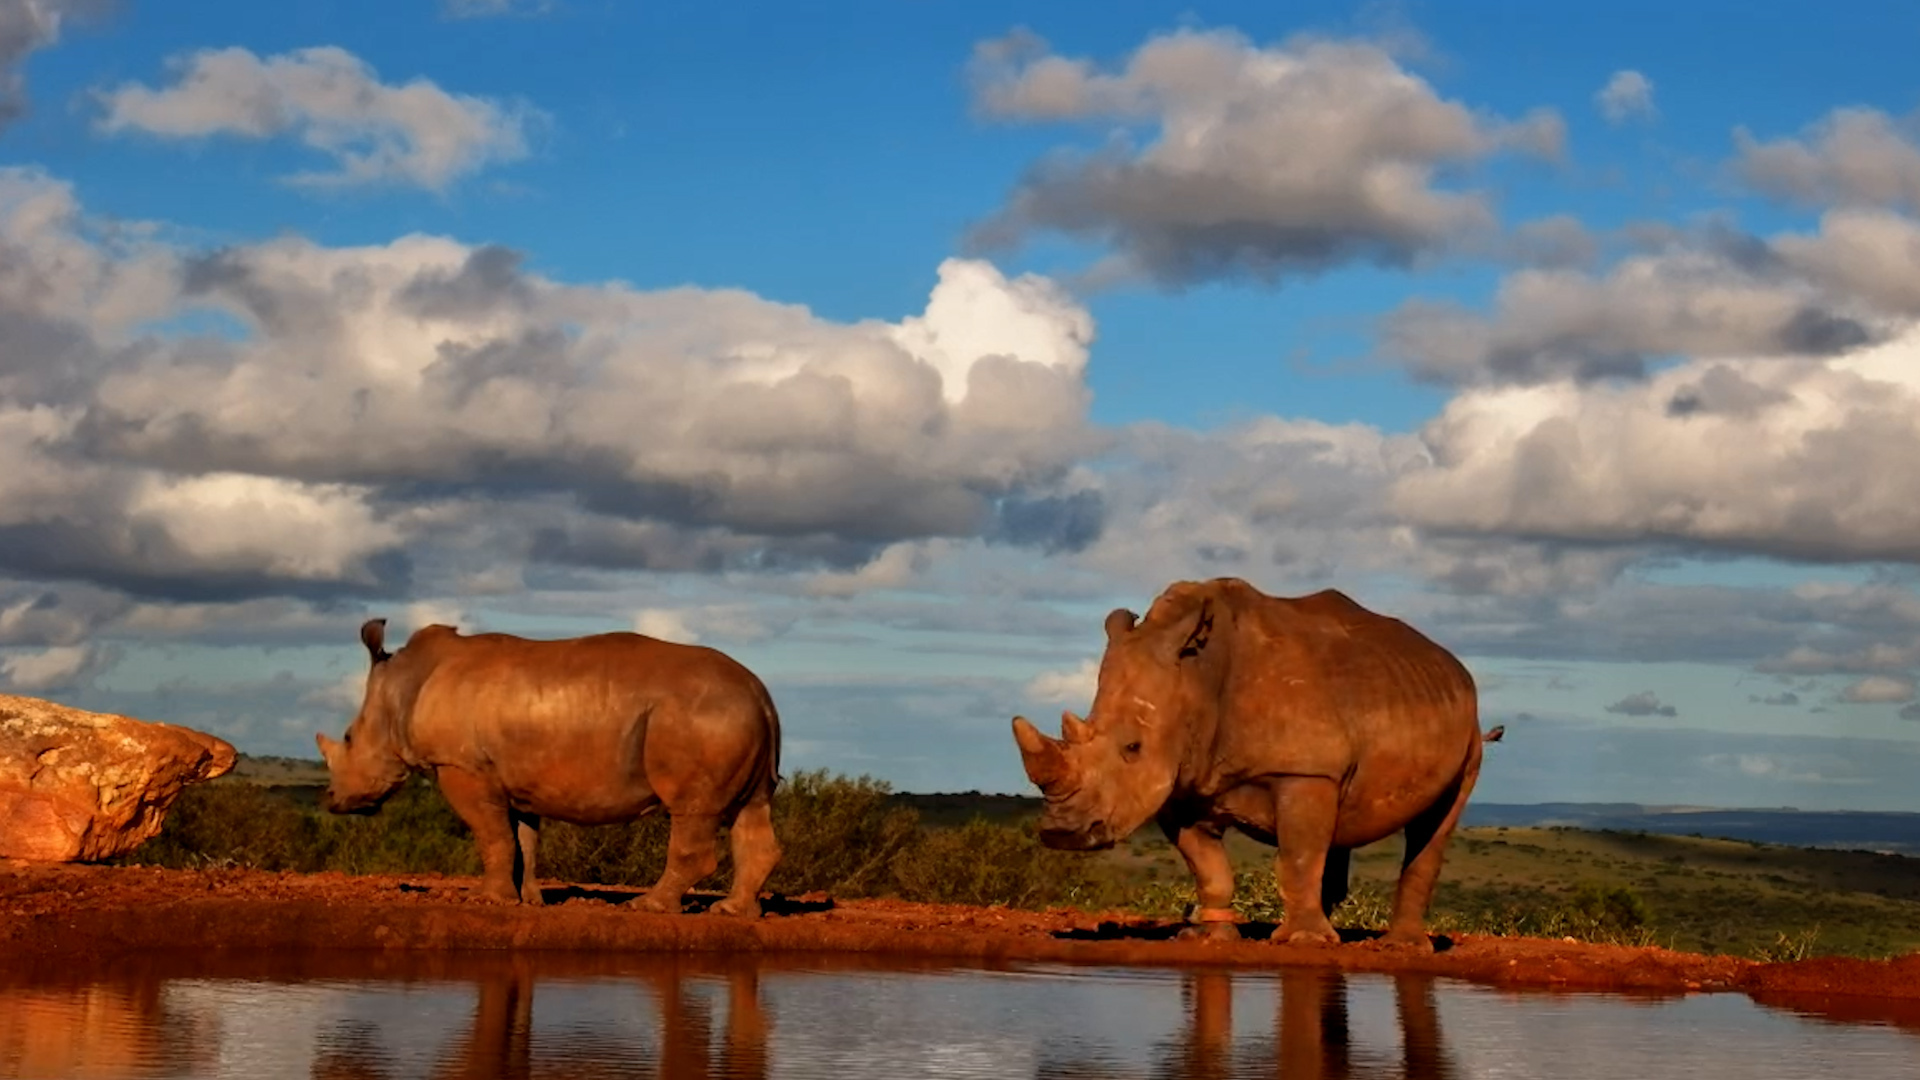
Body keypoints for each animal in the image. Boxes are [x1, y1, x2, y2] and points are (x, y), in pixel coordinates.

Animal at [316, 619, 782, 916]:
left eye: (349, 738)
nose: (332, 800)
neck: (403, 686)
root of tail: (760, 693)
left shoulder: (462, 767)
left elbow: (492, 835)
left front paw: (485, 899)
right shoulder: (516, 778)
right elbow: (522, 840)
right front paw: (527, 900)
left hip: (702, 718)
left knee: (693, 810)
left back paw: (649, 907)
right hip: (734, 714)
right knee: (750, 809)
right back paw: (733, 912)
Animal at [1011, 578, 1481, 951]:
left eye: (1133, 747)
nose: (1062, 833)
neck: (1198, 675)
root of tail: (1451, 663)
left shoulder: (1304, 770)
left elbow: (1297, 856)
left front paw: (1301, 943)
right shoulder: (1182, 784)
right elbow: (1209, 866)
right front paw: (1210, 937)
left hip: (1471, 734)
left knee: (1434, 825)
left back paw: (1399, 947)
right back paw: (1335, 929)